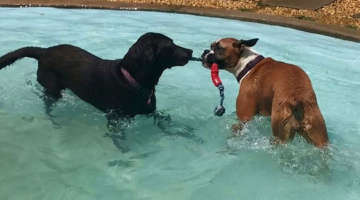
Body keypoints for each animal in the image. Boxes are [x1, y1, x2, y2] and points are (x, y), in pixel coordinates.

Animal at [202, 38, 330, 147]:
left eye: (218, 48)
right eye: (211, 46)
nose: (205, 51)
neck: (248, 64)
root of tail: (297, 98)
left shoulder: (244, 117)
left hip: (280, 133)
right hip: (318, 135)